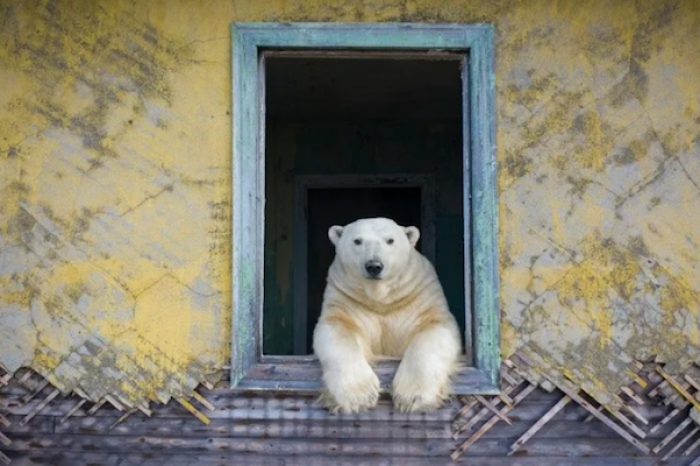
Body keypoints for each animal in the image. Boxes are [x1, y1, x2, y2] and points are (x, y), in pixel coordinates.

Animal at [312, 217, 460, 414]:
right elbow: (337, 329)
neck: (381, 300)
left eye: (390, 240)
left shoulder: (420, 295)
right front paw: (359, 396)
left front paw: (412, 397)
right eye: (357, 241)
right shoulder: (346, 299)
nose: (374, 266)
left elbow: (435, 328)